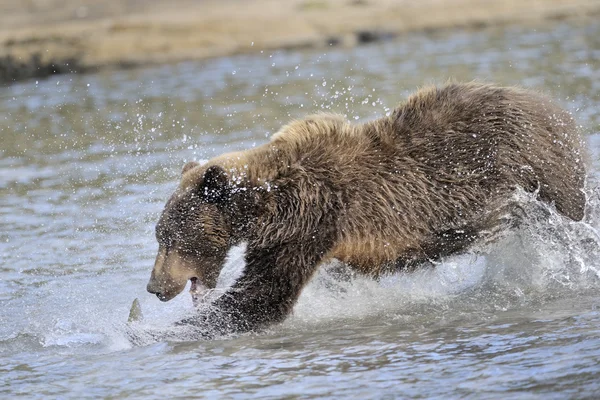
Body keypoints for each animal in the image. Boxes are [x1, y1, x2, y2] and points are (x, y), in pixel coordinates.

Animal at [145, 83, 584, 336]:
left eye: (171, 236)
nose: (154, 288)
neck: (266, 201)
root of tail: (555, 108)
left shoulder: (309, 218)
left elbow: (264, 293)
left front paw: (164, 329)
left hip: (537, 172)